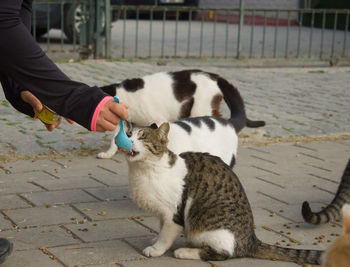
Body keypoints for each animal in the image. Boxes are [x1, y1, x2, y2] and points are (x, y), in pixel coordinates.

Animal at [97, 70, 264, 160]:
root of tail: (214, 76)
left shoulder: (157, 119)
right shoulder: (124, 122)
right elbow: (115, 138)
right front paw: (108, 153)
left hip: (200, 108)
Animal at [124, 123, 322, 266]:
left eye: (142, 136)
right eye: (129, 133)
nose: (128, 139)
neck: (143, 170)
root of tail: (250, 239)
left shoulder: (174, 213)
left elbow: (166, 235)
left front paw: (157, 248)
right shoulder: (162, 214)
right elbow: (161, 227)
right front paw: (156, 238)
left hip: (205, 228)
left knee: (223, 253)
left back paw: (185, 252)